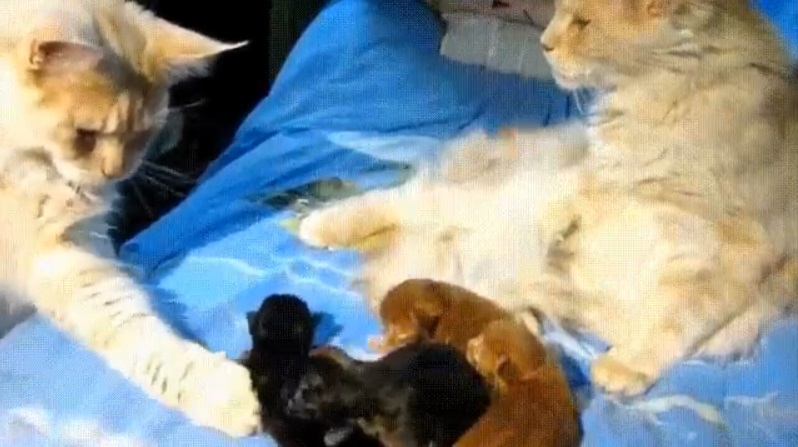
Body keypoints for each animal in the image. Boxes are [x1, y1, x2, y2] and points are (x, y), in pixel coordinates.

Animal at [297, 0, 798, 396]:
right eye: (561, 12)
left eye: (582, 23)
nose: (545, 43)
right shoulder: (598, 182)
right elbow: (580, 207)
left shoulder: (726, 265)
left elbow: (673, 325)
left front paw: (622, 367)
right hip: (476, 202)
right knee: (398, 200)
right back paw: (316, 227)